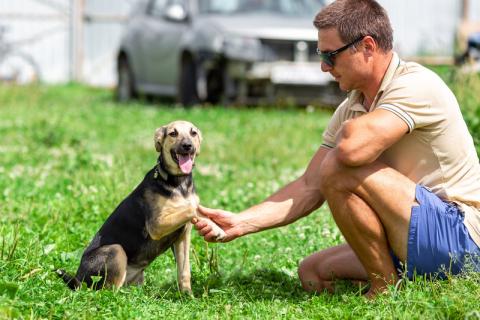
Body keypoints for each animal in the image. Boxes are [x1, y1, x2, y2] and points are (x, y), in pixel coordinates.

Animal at [57, 120, 226, 296]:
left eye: (193, 133)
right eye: (173, 133)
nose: (188, 146)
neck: (178, 183)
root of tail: (78, 278)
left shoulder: (183, 235)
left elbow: (184, 270)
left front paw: (187, 296)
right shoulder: (156, 225)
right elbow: (191, 207)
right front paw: (215, 225)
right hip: (116, 251)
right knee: (107, 291)